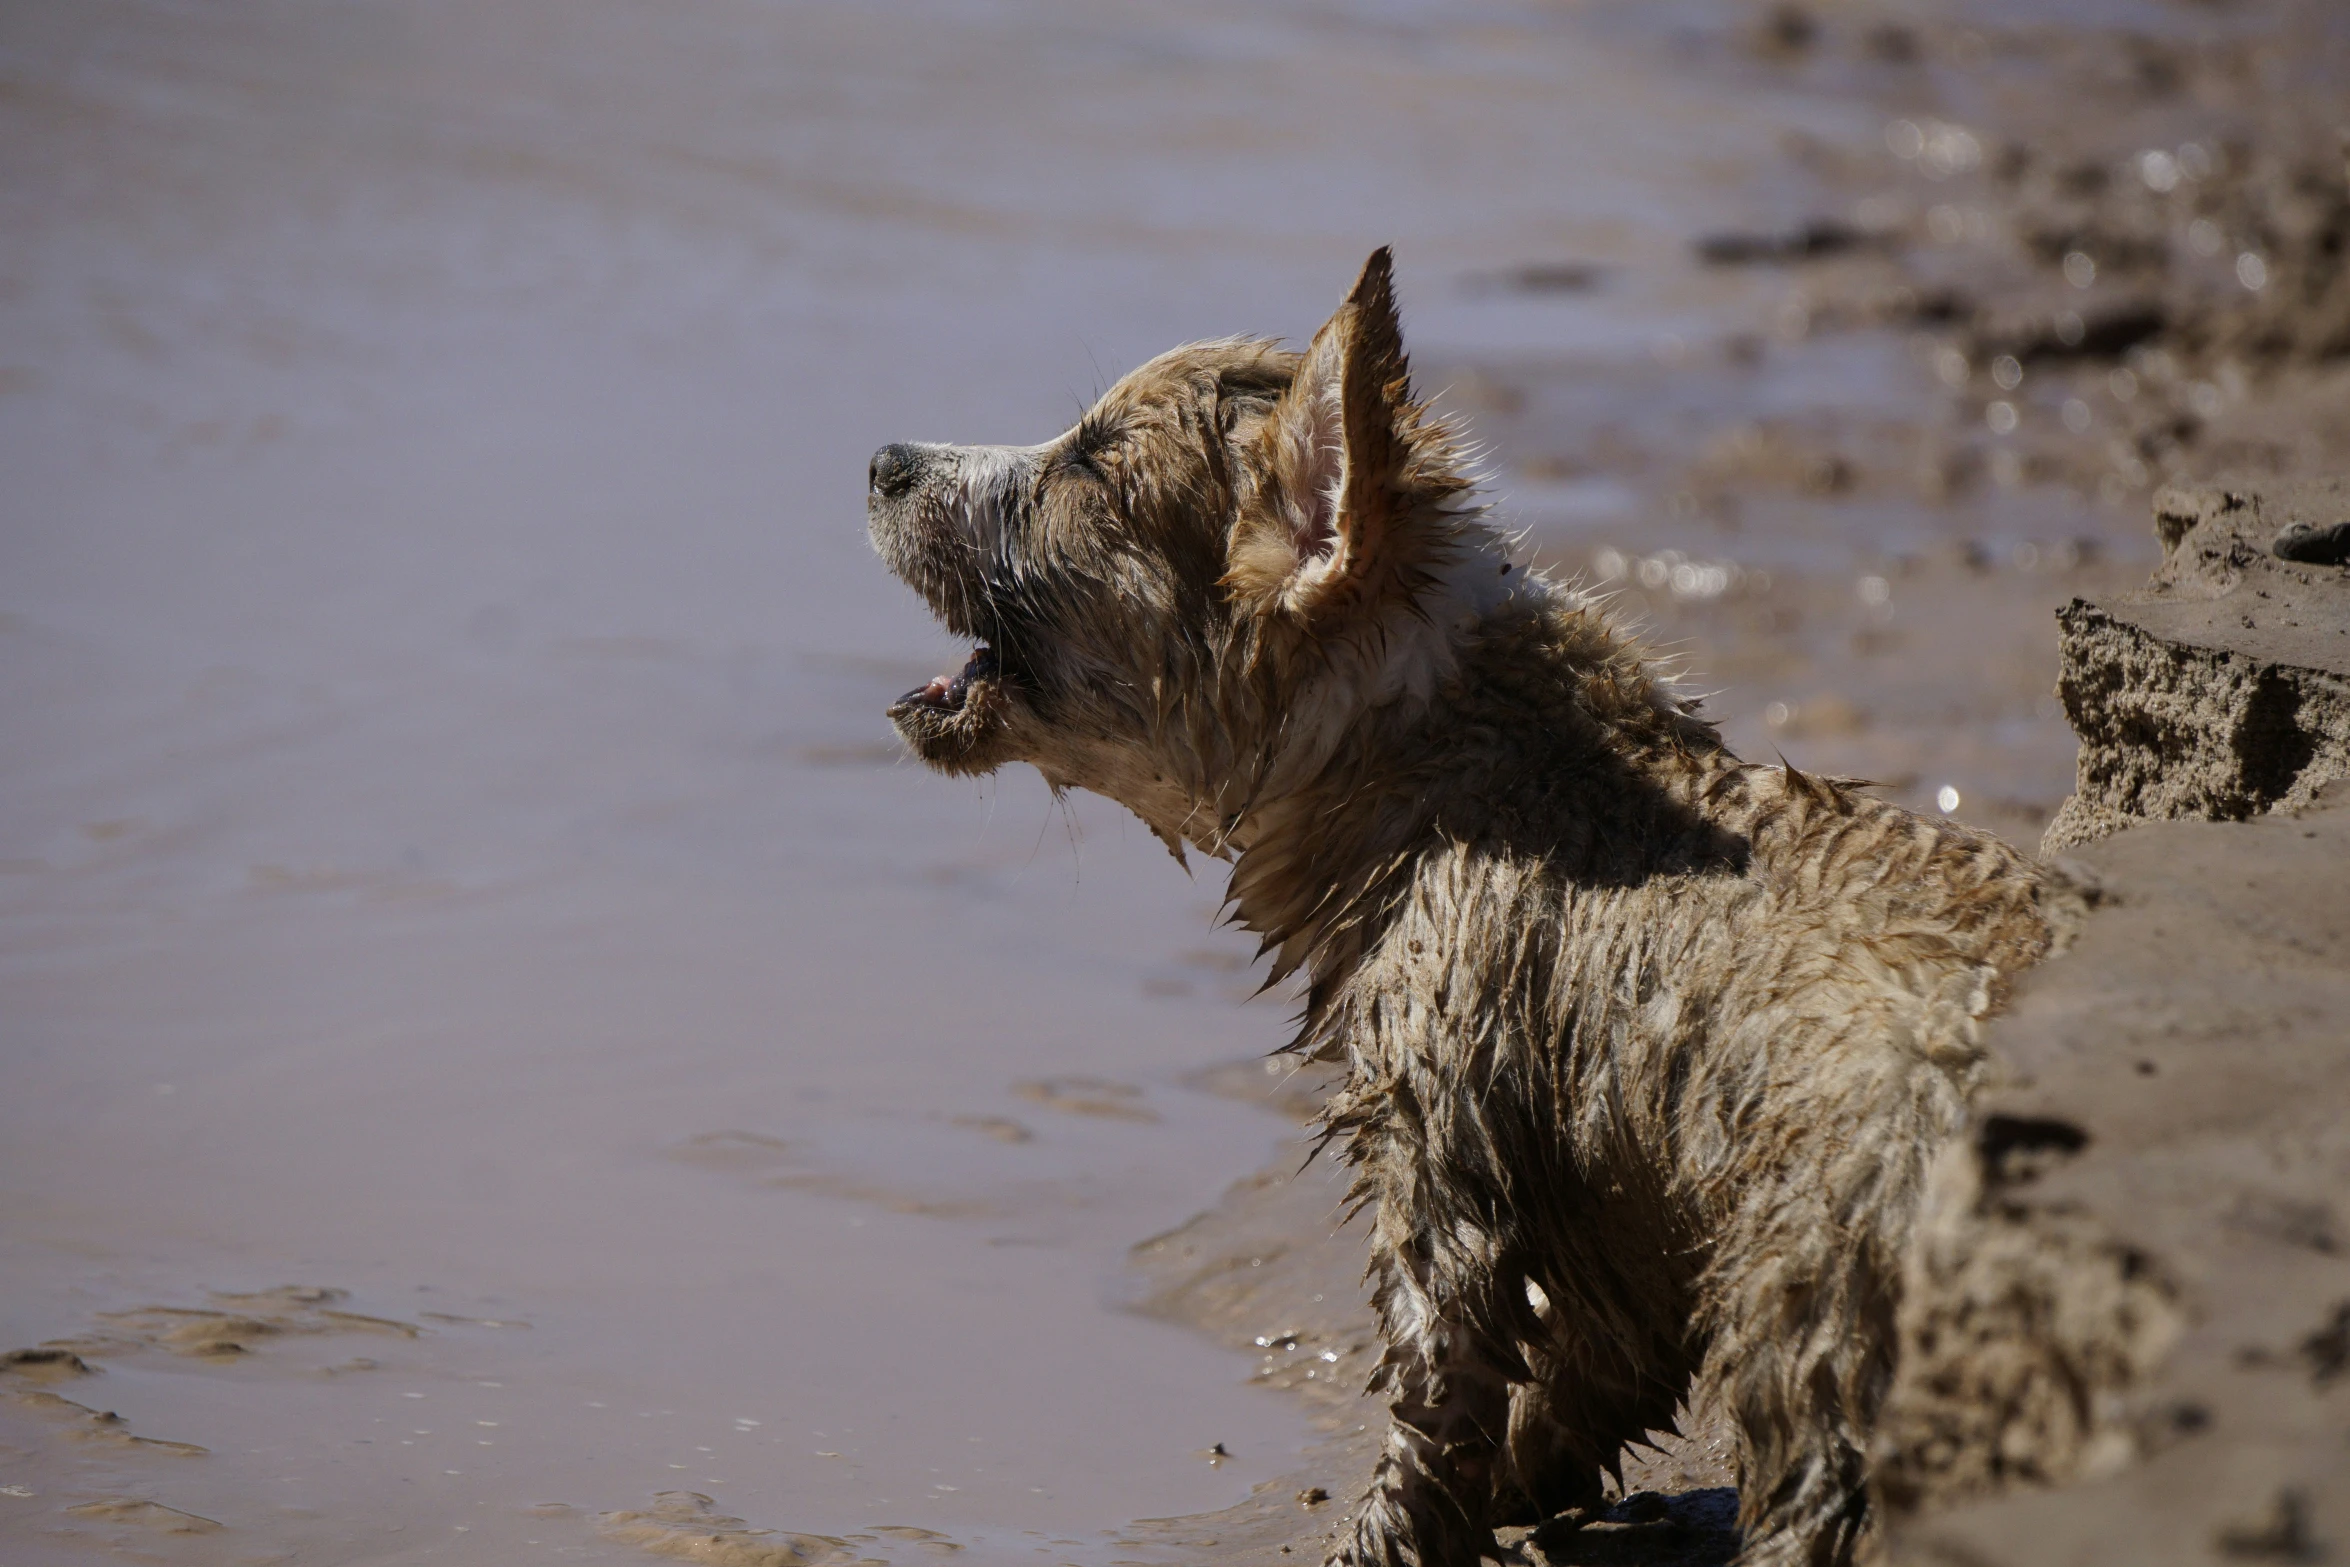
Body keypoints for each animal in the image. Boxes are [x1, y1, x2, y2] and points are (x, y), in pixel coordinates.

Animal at [864, 251, 2058, 1559]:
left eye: (1083, 463)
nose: (881, 459)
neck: (1428, 736)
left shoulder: (1449, 1129)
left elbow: (1438, 1386)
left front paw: (1384, 1538)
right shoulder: (1608, 1212)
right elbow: (1591, 1363)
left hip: (1813, 1286)